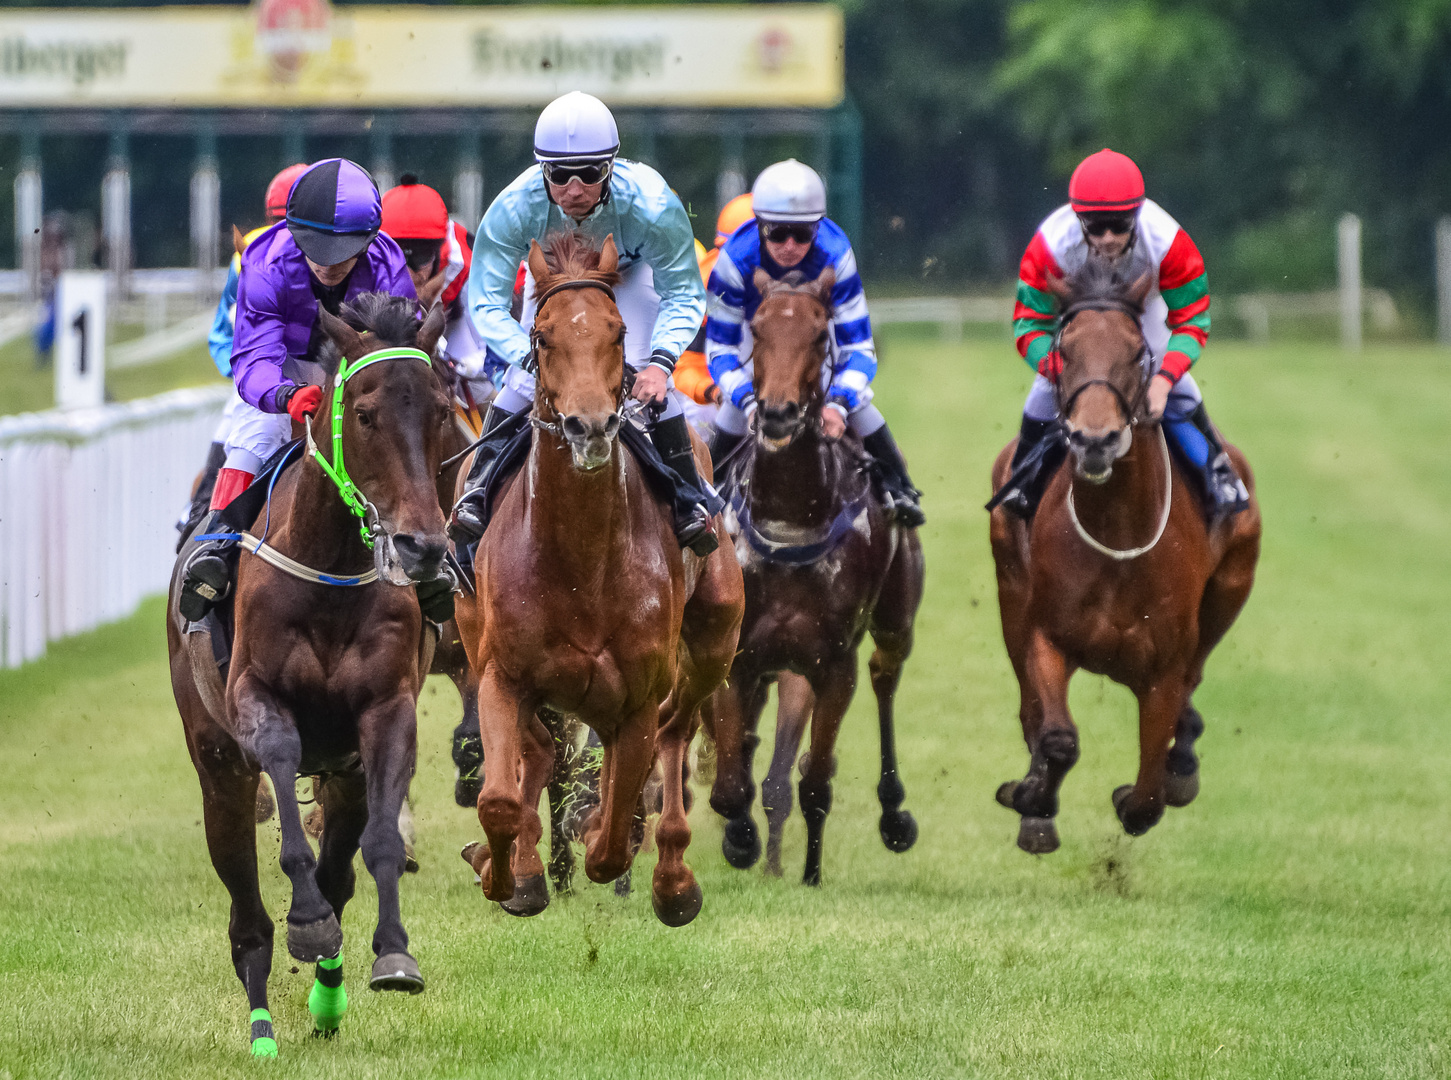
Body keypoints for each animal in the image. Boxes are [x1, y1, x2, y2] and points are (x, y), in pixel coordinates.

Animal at [164, 293, 449, 1056]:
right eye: (365, 413)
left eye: (440, 410)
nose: (421, 546)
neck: (331, 574)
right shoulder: (257, 702)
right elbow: (292, 838)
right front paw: (308, 923)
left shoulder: (385, 709)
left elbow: (376, 847)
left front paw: (393, 956)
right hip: (217, 772)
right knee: (246, 915)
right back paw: (263, 1024)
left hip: (342, 776)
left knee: (341, 869)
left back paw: (327, 998)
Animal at [455, 233, 748, 929]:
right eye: (541, 337)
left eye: (617, 333)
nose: (589, 426)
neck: (581, 561)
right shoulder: (503, 674)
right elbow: (500, 801)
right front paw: (505, 873)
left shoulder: (636, 695)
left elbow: (612, 839)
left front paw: (600, 839)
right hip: (475, 635)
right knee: (540, 751)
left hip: (714, 640)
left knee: (675, 729)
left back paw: (672, 878)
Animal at [708, 268, 922, 888]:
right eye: (757, 329)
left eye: (819, 333)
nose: (778, 412)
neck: (789, 517)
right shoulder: (738, 657)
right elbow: (731, 784)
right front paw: (740, 840)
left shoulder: (832, 663)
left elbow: (816, 780)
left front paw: (808, 873)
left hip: (895, 621)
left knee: (884, 676)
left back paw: (892, 814)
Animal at [986, 261, 1259, 853]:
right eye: (1064, 350)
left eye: (1137, 353)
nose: (1095, 439)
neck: (1116, 536)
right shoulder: (1048, 637)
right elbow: (1057, 737)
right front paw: (1032, 799)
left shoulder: (1163, 671)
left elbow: (1148, 798)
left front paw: (1150, 785)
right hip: (1010, 590)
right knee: (1029, 708)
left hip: (1230, 588)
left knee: (1194, 687)